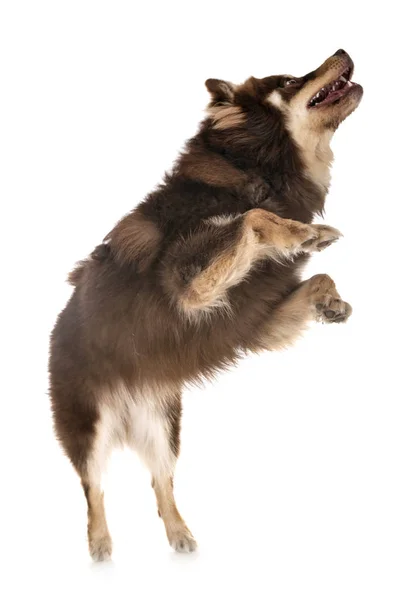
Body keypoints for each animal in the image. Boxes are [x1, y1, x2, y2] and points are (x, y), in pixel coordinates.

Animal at [48, 49, 360, 560]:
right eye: (289, 81)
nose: (343, 51)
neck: (260, 175)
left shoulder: (255, 323)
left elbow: (315, 274)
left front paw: (331, 301)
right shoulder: (187, 284)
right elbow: (253, 219)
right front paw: (303, 233)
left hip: (164, 426)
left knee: (161, 482)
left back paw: (179, 533)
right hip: (88, 426)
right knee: (93, 487)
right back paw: (100, 542)